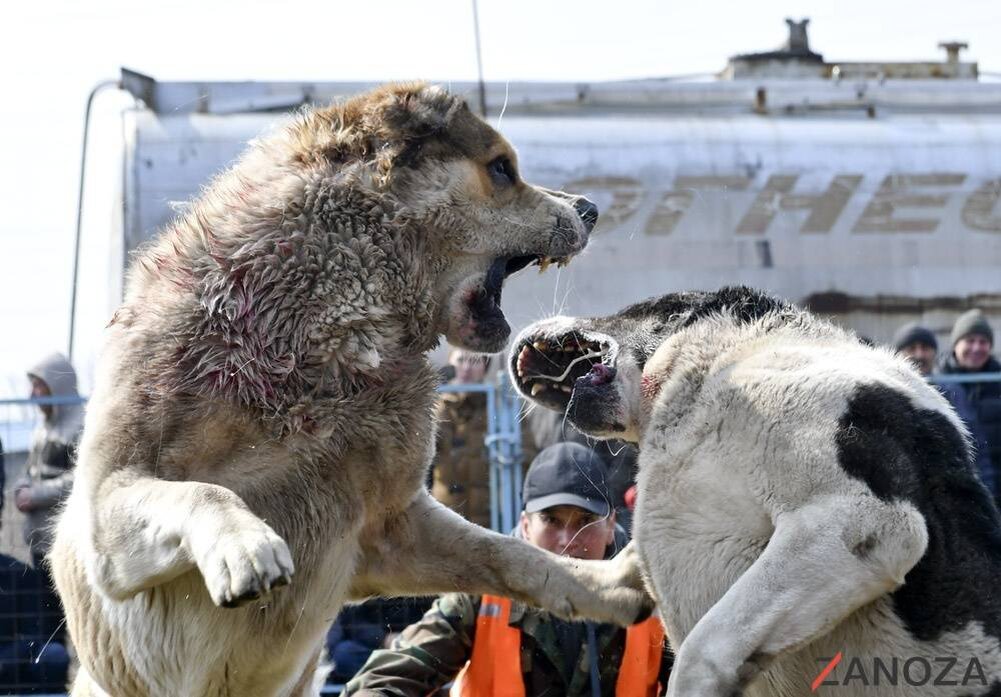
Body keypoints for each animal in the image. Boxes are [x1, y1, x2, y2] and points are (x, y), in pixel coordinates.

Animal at [50, 84, 648, 692]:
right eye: (502, 169)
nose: (589, 208)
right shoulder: (106, 515)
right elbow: (203, 491)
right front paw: (248, 546)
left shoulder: (392, 529)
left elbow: (510, 555)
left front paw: (606, 586)